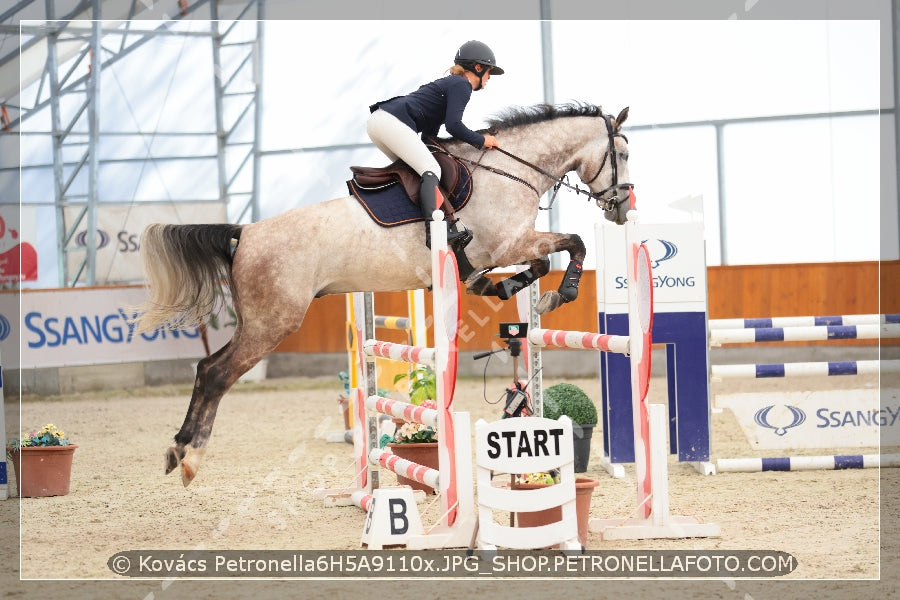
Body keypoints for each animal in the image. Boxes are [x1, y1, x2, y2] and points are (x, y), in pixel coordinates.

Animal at [134, 102, 632, 488]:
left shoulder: (509, 247)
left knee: (205, 369)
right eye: (624, 153)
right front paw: (558, 293)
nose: (624, 209)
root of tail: (245, 233)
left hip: (261, 321)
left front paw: (500, 286)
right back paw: (190, 458)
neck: (511, 170)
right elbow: (570, 245)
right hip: (272, 322)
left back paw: (176, 451)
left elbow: (540, 264)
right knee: (216, 373)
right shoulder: (509, 243)